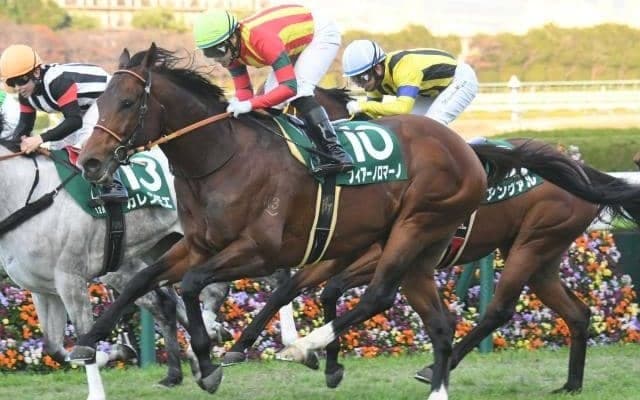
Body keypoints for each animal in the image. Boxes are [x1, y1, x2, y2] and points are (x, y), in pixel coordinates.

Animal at [69, 43, 492, 400]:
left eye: (127, 102)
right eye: (98, 101)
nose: (89, 162)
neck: (221, 158)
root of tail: (466, 152)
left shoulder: (260, 251)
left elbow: (192, 284)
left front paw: (207, 361)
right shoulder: (198, 244)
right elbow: (141, 280)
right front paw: (88, 340)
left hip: (414, 225)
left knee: (379, 294)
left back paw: (307, 344)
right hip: (419, 250)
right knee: (440, 324)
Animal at [217, 86, 640, 394]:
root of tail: (582, 168)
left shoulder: (378, 255)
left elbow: (334, 290)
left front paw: (317, 354)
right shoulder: (342, 252)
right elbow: (295, 288)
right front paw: (254, 349)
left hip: (532, 245)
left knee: (498, 310)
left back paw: (436, 367)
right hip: (543, 255)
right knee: (577, 312)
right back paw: (570, 385)